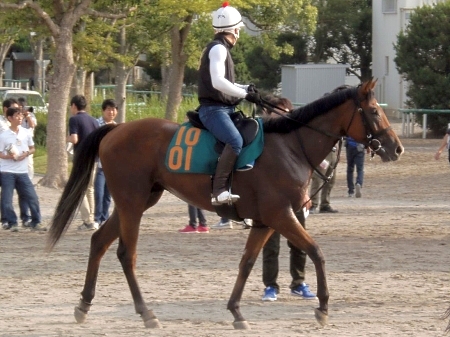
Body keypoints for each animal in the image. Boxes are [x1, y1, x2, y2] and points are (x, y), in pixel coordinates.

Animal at [46, 79, 404, 328]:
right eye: (374, 111)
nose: (397, 147)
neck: (290, 146)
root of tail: (114, 128)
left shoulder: (265, 221)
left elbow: (247, 262)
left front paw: (236, 311)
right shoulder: (282, 215)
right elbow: (316, 251)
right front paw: (323, 307)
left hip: (134, 202)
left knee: (99, 242)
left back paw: (84, 305)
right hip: (132, 204)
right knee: (125, 254)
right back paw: (146, 313)